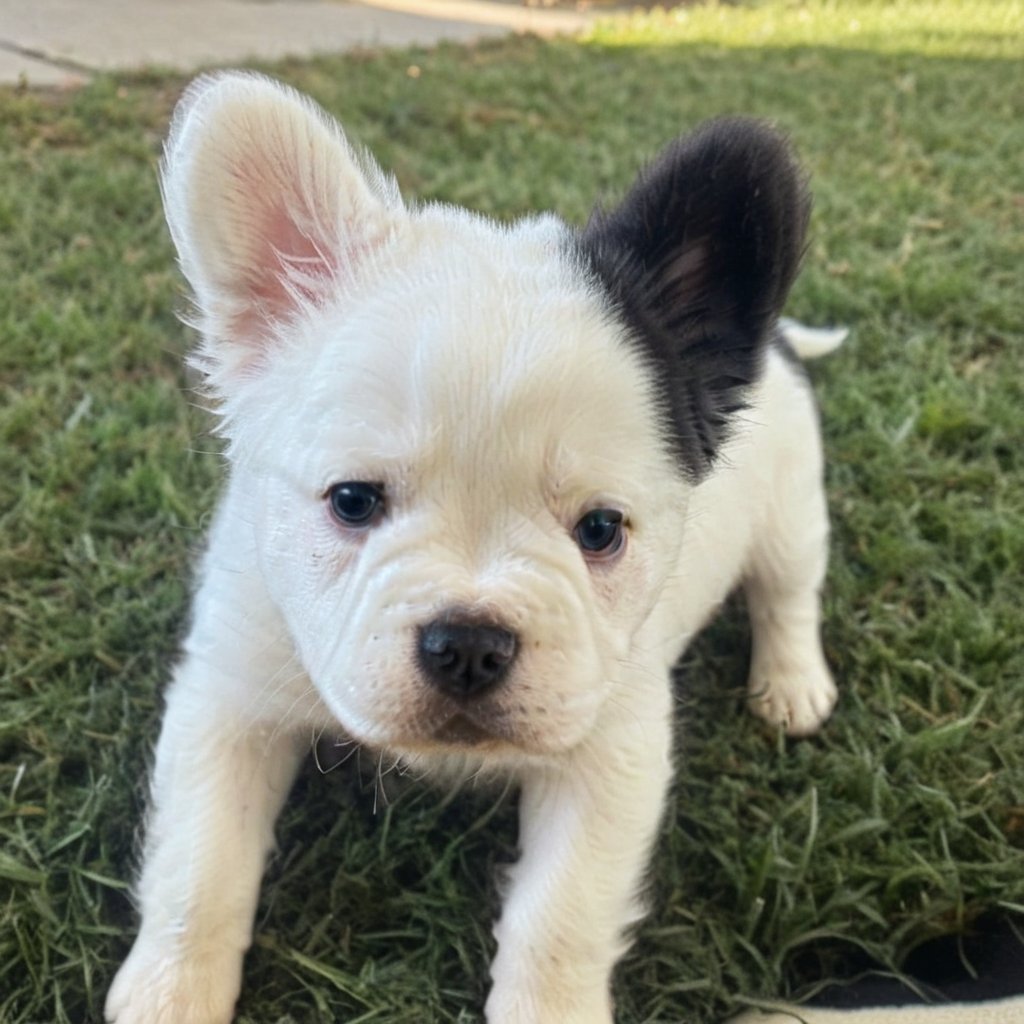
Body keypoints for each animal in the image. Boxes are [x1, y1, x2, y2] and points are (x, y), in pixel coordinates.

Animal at [103, 72, 843, 1024]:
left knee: (787, 593)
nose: (468, 645)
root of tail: (770, 344)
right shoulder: (231, 698)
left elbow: (561, 916)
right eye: (353, 502)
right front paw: (171, 990)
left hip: (791, 510)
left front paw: (549, 1010)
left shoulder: (608, 752)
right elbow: (202, 865)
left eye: (600, 531)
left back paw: (791, 682)